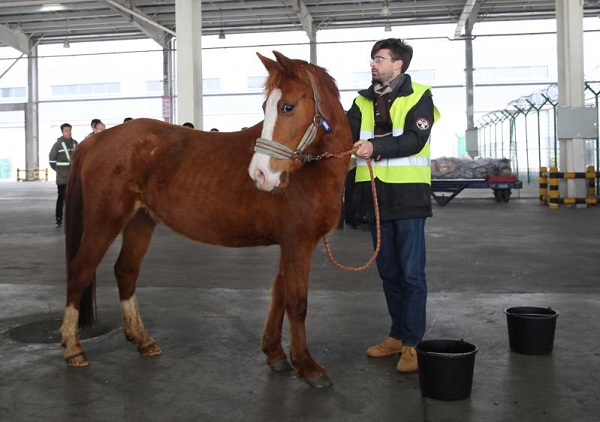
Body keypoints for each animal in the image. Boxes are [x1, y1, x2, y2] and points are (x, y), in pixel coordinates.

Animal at [58, 51, 352, 388]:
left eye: (287, 106)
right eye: (267, 106)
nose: (260, 174)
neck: (310, 171)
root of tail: (96, 139)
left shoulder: (289, 244)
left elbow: (278, 294)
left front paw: (275, 353)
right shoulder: (298, 243)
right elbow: (297, 302)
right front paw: (307, 366)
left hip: (140, 221)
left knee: (126, 272)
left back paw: (143, 340)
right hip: (104, 220)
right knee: (80, 270)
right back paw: (73, 348)